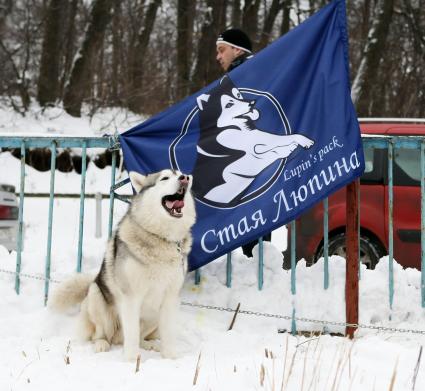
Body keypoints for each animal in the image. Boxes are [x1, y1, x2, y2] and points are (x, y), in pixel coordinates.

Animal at [50, 170, 196, 360]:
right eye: (164, 178)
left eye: (180, 174)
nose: (185, 178)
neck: (162, 238)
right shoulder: (131, 298)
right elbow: (131, 334)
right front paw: (132, 360)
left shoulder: (170, 298)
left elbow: (168, 335)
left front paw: (170, 358)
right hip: (97, 297)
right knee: (102, 334)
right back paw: (102, 344)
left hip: (153, 316)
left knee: (139, 336)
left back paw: (149, 345)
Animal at [191, 75, 312, 207]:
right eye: (229, 105)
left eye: (238, 95)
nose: (252, 102)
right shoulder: (250, 145)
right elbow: (280, 141)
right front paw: (302, 141)